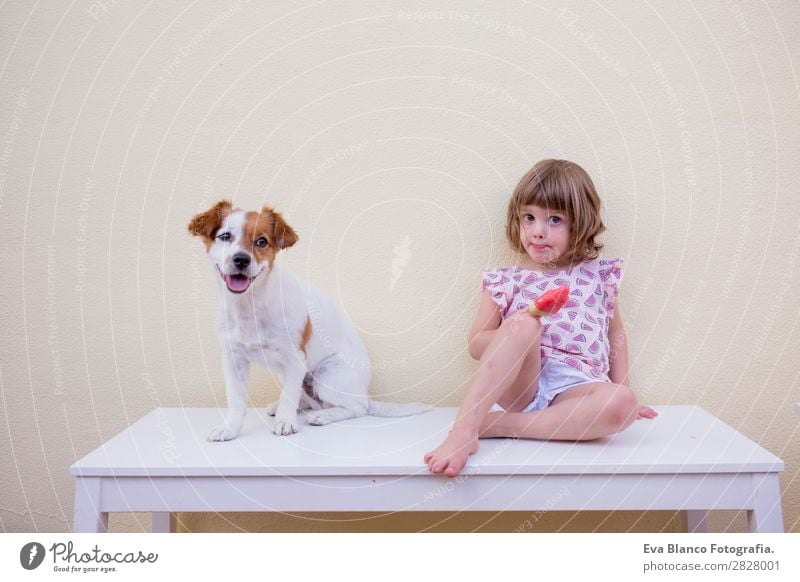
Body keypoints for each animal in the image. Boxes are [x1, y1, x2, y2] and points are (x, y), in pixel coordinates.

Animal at [189, 202, 432, 442]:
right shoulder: (234, 360)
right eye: (225, 236)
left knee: (356, 407)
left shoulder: (295, 357)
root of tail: (365, 392)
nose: (241, 259)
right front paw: (230, 428)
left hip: (327, 376)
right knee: (308, 399)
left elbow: (289, 395)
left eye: (261, 241)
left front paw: (285, 422)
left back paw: (324, 416)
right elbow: (236, 400)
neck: (251, 306)